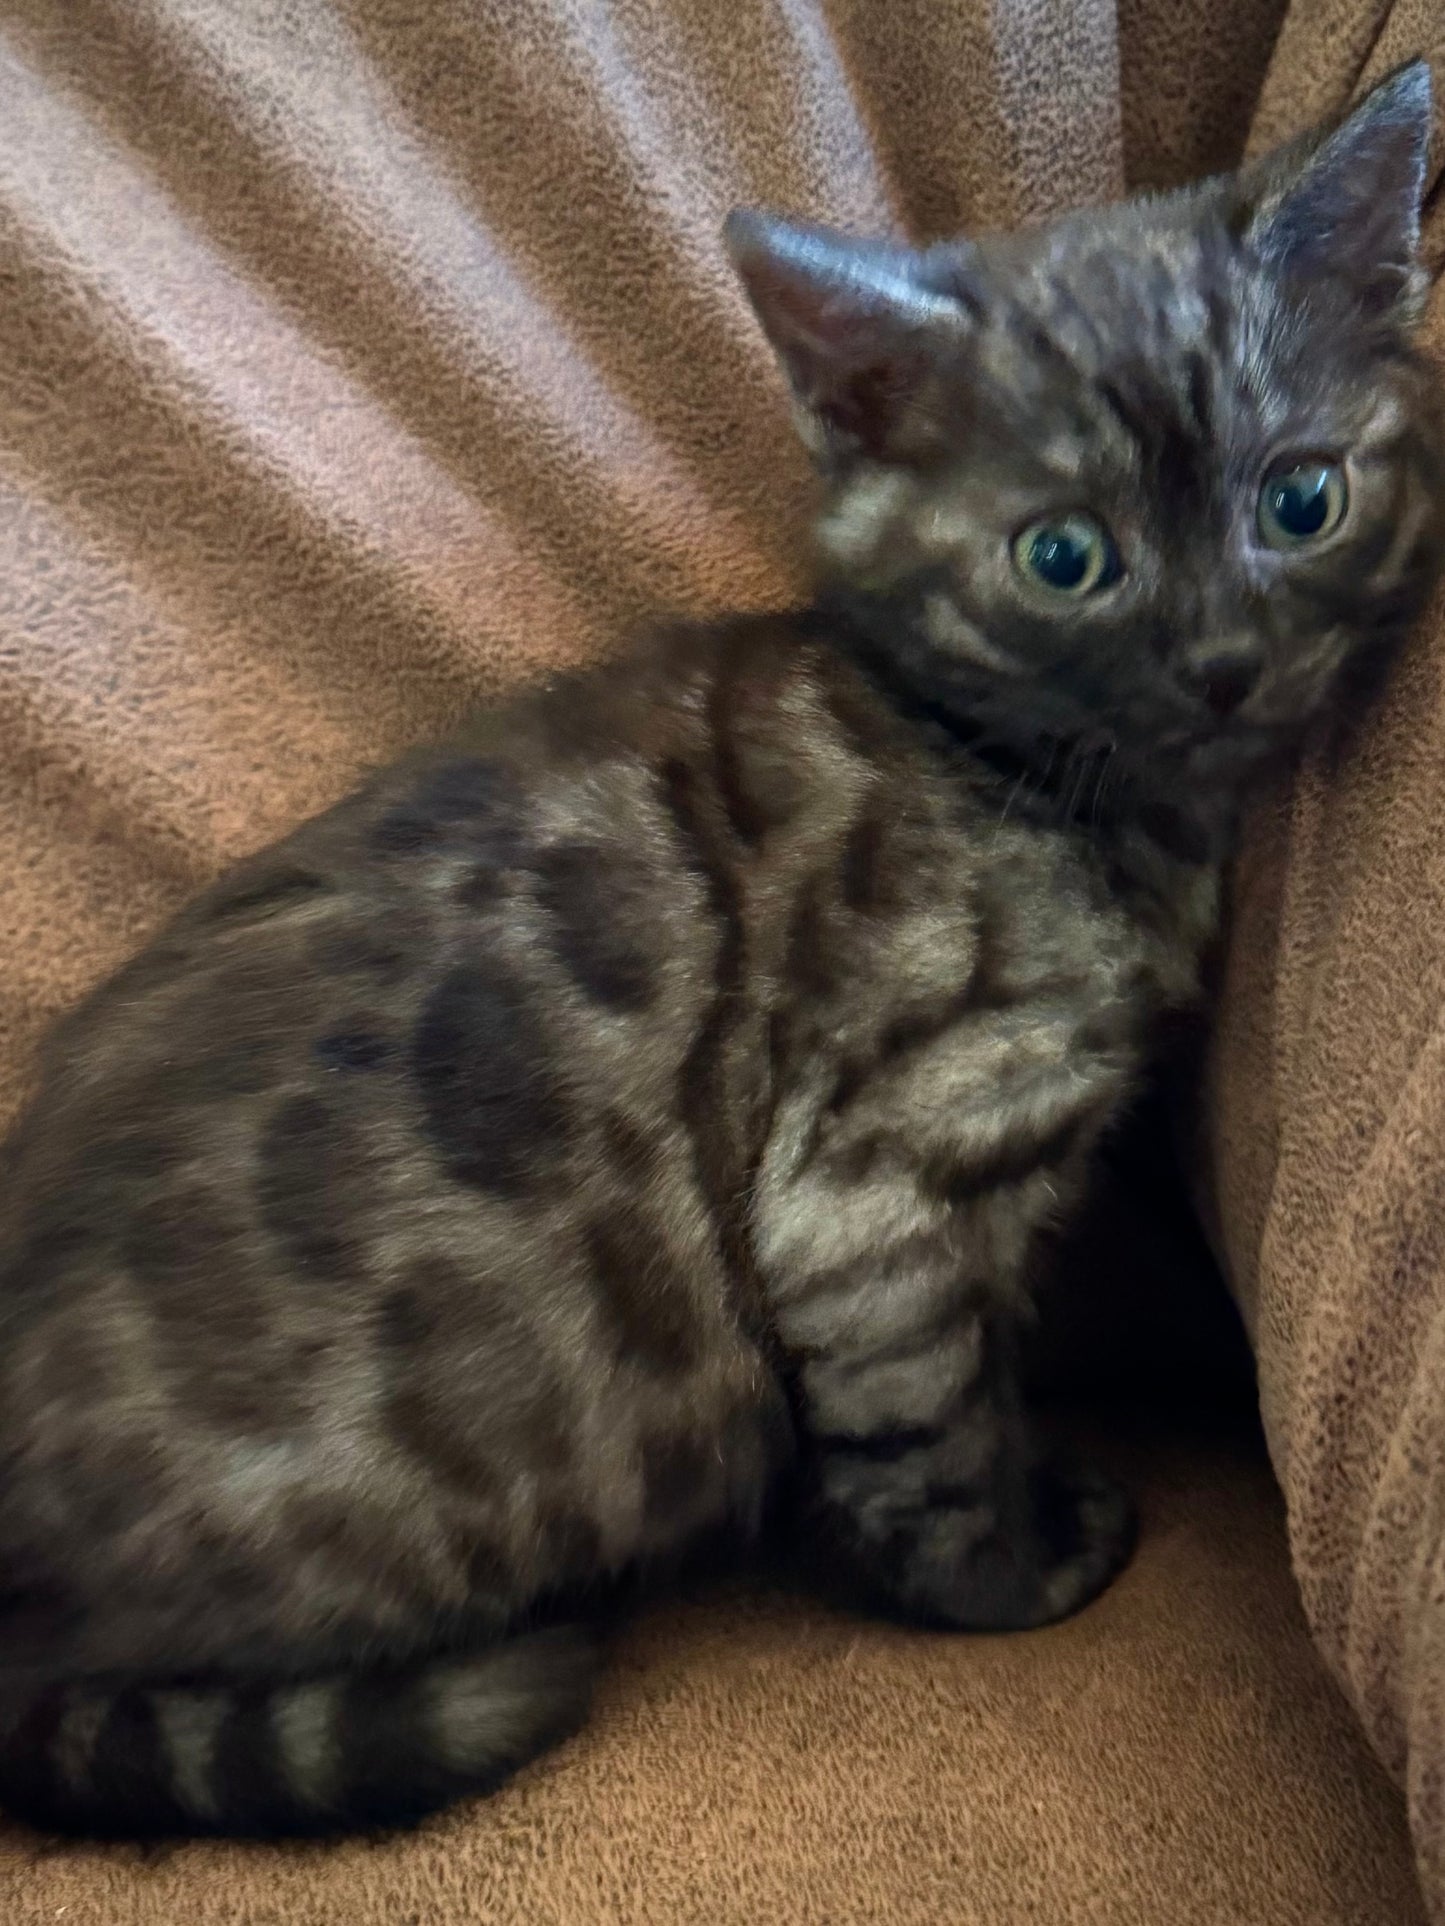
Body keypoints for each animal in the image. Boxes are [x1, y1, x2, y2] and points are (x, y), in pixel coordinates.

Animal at [2, 64, 1445, 1833]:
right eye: (1063, 556)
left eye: (1302, 499)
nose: (1227, 659)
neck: (1015, 771)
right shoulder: (874, 1187)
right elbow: (932, 1432)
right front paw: (1018, 1570)